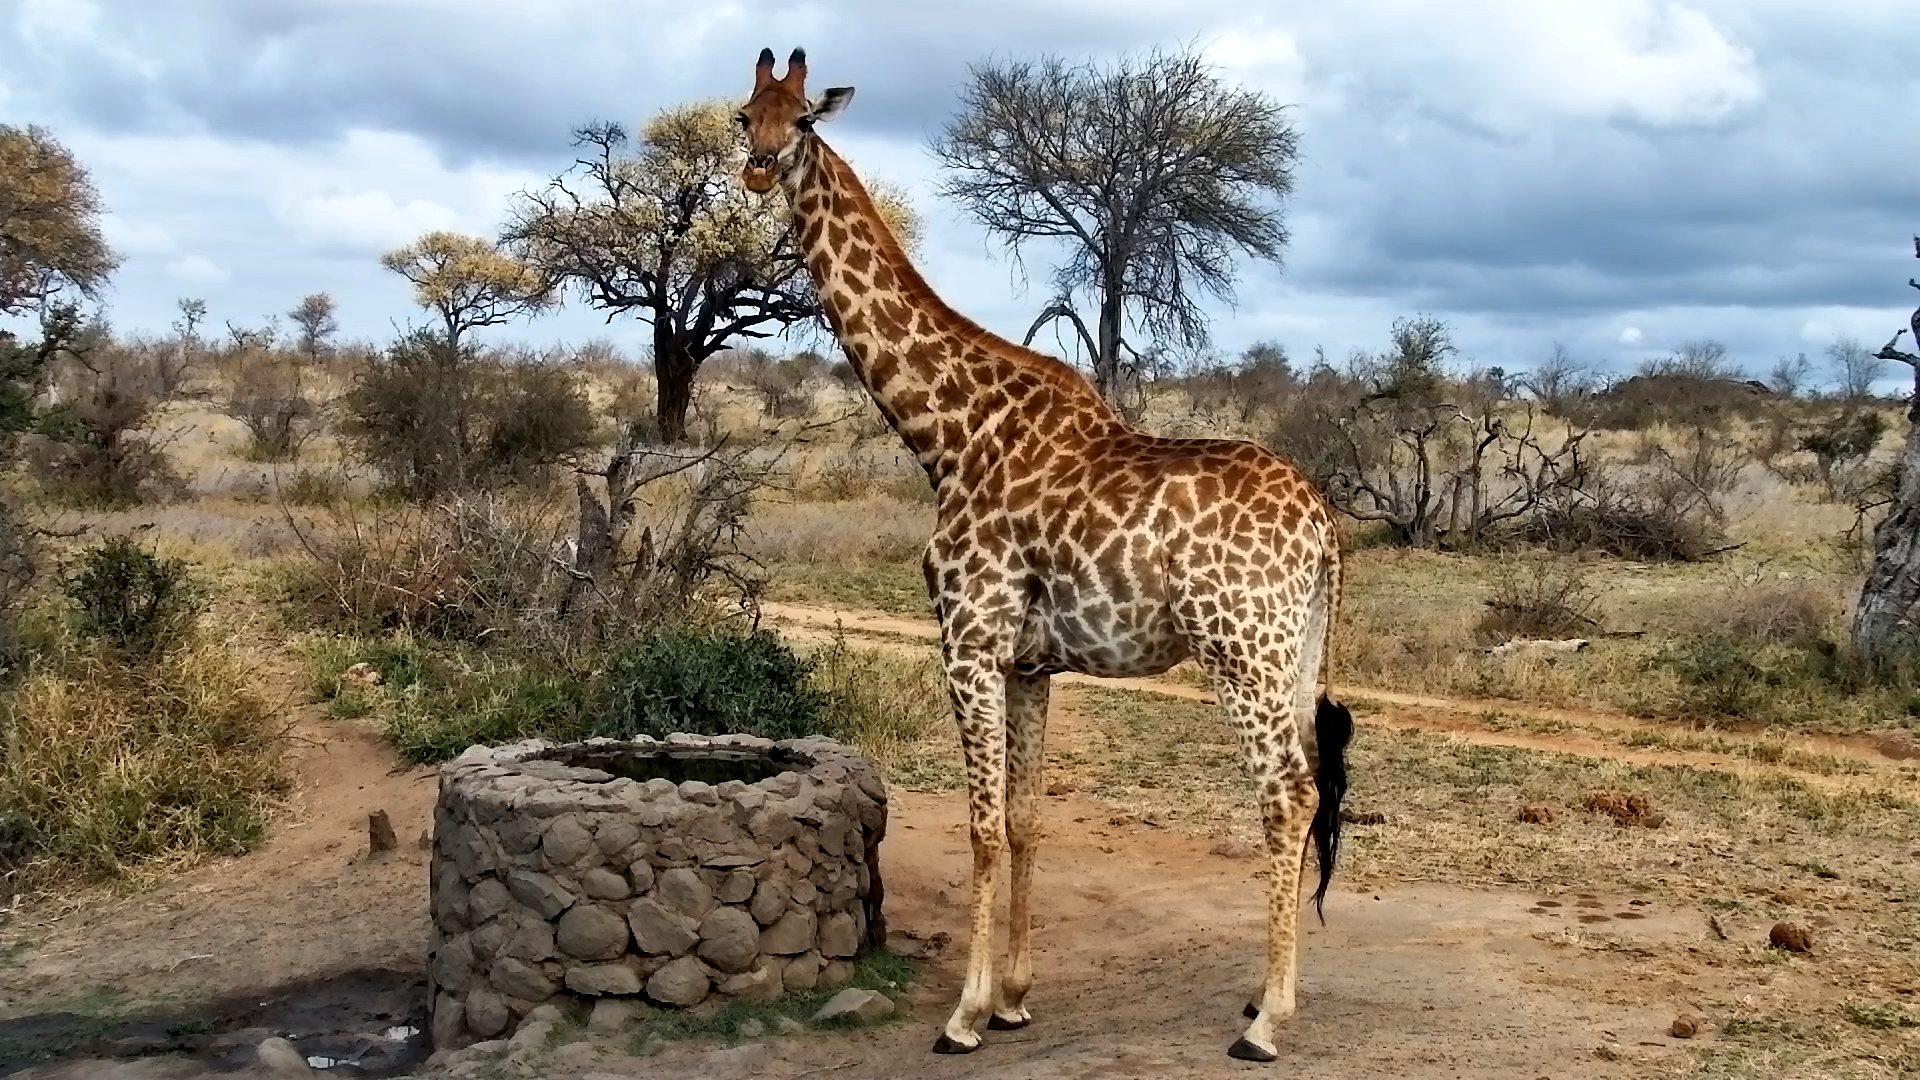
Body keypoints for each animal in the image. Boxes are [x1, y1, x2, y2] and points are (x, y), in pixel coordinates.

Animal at [736, 47, 1354, 1063]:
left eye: (806, 121)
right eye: (746, 114)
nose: (757, 170)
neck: (947, 436)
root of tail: (1325, 529)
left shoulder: (969, 643)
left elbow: (982, 828)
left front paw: (963, 1015)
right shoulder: (1030, 662)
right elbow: (1026, 820)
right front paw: (1016, 997)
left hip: (1242, 651)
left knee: (1288, 794)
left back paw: (1267, 1022)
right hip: (1295, 649)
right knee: (1306, 787)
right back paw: (1265, 1000)